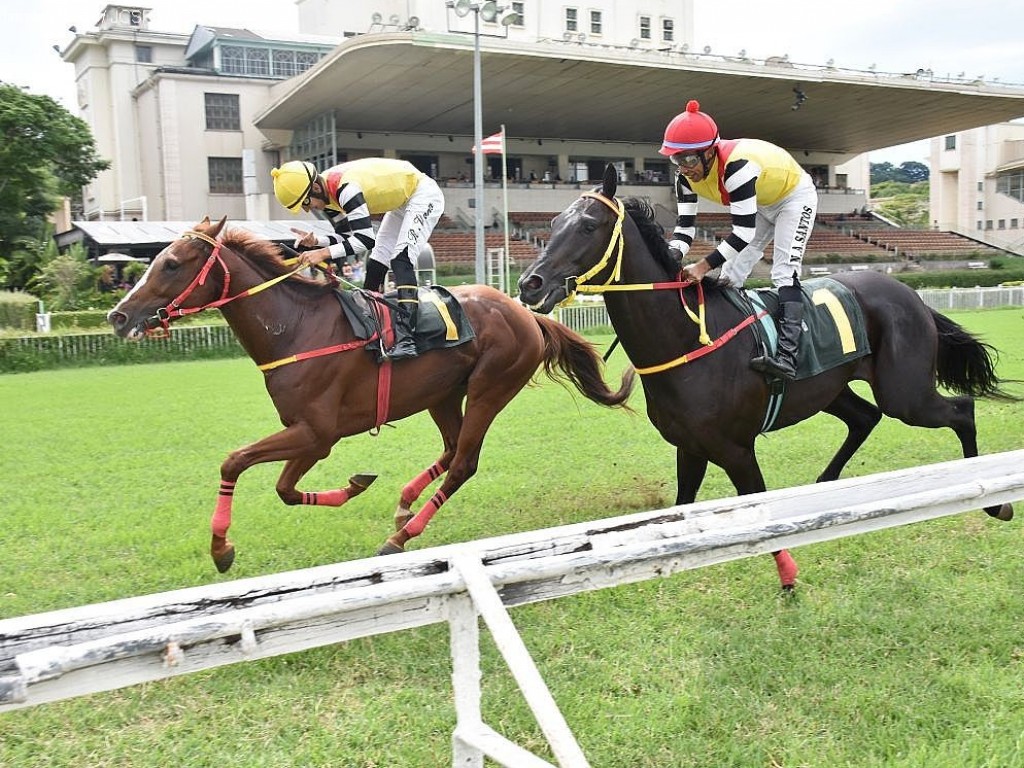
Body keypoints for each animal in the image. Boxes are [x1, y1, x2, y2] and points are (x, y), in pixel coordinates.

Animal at [105, 217, 630, 573]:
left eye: (171, 264)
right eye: (153, 260)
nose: (118, 315)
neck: (295, 328)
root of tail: (526, 313)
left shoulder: (317, 434)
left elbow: (236, 463)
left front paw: (221, 548)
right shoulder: (308, 433)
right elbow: (284, 489)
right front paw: (357, 484)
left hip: (490, 387)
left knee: (464, 461)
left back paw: (401, 537)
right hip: (442, 394)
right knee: (451, 448)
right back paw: (404, 505)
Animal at [520, 165, 1015, 593]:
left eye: (587, 226)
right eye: (553, 222)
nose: (530, 283)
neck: (685, 338)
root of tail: (911, 295)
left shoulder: (737, 450)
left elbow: (759, 509)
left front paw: (788, 577)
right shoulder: (689, 447)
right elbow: (683, 506)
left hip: (905, 393)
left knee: (960, 410)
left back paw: (996, 501)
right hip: (831, 389)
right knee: (865, 417)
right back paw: (824, 483)